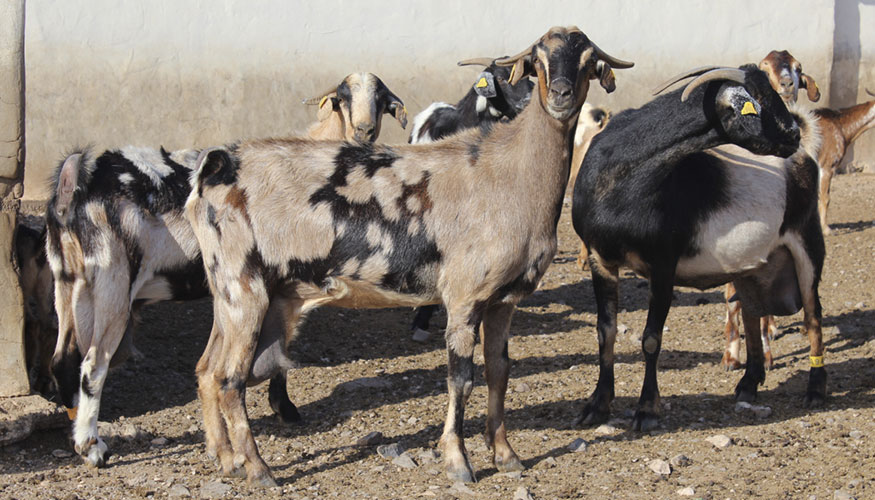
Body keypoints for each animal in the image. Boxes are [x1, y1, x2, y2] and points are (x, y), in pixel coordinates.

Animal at [44, 74, 408, 468]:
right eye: (342, 97)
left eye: (382, 99)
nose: (364, 130)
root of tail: (73, 184)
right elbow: (283, 343)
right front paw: (285, 408)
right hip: (111, 278)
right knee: (93, 364)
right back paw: (92, 447)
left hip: (68, 279)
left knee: (62, 361)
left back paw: (77, 436)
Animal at [572, 64, 824, 432]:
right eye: (758, 102)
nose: (792, 132)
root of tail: (804, 158)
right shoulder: (600, 258)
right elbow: (605, 332)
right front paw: (596, 406)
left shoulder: (663, 263)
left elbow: (651, 338)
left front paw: (647, 410)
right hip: (753, 266)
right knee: (752, 313)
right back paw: (748, 385)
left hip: (807, 242)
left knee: (812, 315)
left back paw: (816, 389)